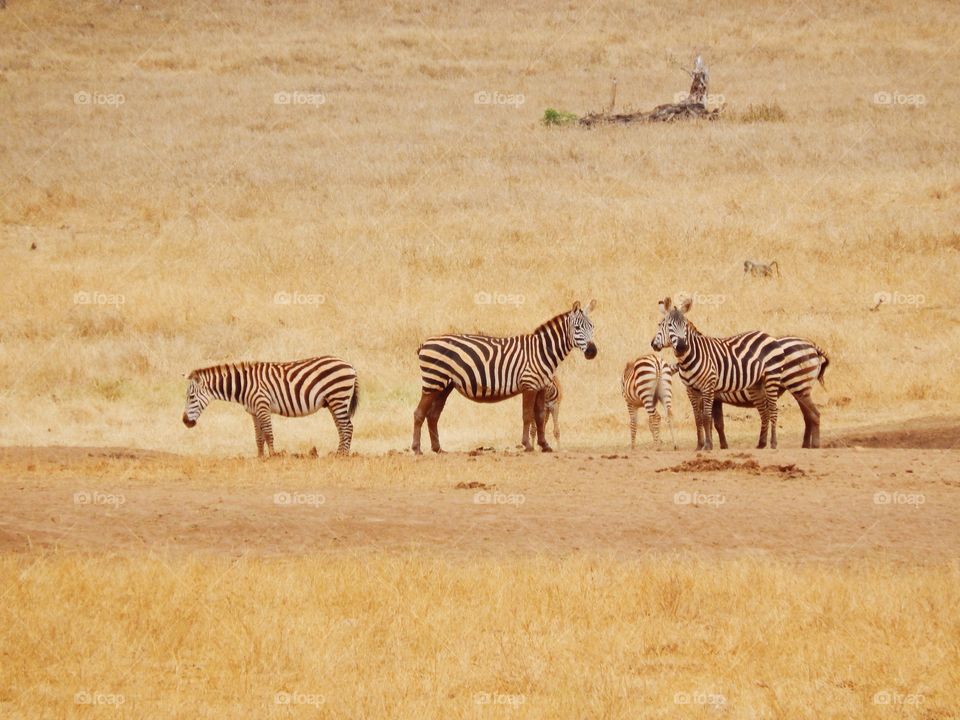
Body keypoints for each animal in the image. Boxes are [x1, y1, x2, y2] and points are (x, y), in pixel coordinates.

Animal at [182, 356, 359, 456]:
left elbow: (268, 433)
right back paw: (337, 454)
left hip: (338, 397)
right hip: (332, 402)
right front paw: (260, 457)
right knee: (341, 427)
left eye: (191, 397)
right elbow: (258, 436)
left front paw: (273, 456)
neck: (244, 386)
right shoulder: (253, 411)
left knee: (347, 427)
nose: (185, 422)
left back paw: (343, 456)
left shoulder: (262, 405)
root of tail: (349, 364)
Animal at [412, 301, 597, 454]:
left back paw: (438, 449)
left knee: (433, 415)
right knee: (419, 413)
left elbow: (539, 416)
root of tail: (425, 343)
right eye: (577, 328)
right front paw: (527, 445)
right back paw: (417, 449)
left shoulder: (541, 387)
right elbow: (527, 415)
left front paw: (544, 445)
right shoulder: (529, 385)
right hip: (433, 382)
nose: (592, 352)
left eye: (592, 327)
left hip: (444, 386)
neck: (541, 351)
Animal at [651, 296, 785, 451]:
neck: (688, 358)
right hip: (756, 384)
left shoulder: (708, 387)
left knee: (773, 409)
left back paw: (773, 443)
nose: (682, 347)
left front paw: (708, 446)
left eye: (684, 325)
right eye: (666, 325)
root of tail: (767, 336)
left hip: (772, 377)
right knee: (764, 411)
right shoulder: (691, 390)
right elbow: (698, 419)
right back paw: (761, 444)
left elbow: (706, 417)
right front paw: (699, 445)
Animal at [688, 337, 829, 449]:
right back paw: (805, 445)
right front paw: (720, 445)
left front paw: (718, 445)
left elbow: (714, 423)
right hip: (800, 389)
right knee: (808, 416)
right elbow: (716, 423)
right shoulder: (716, 397)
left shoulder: (713, 396)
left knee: (814, 414)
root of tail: (811, 345)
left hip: (798, 385)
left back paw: (815, 444)